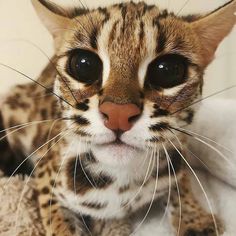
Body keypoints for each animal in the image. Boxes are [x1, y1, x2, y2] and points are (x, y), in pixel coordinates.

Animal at [0, 0, 235, 235]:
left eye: (168, 70)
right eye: (83, 64)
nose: (118, 115)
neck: (120, 181)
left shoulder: (179, 146)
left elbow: (181, 178)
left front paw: (194, 219)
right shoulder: (47, 178)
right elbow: (59, 224)